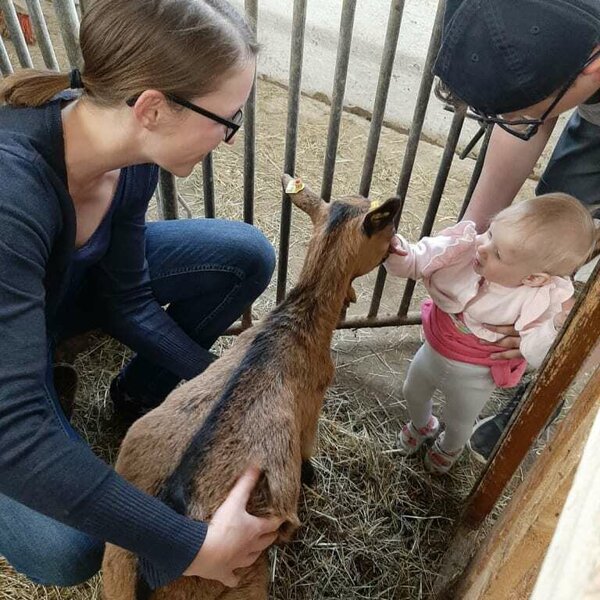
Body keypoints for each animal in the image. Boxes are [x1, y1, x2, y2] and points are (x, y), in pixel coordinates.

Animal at [102, 176, 404, 600]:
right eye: (386, 228)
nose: (396, 244)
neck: (295, 325)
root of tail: (151, 572)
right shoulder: (311, 408)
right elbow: (307, 452)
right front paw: (311, 477)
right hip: (243, 577)